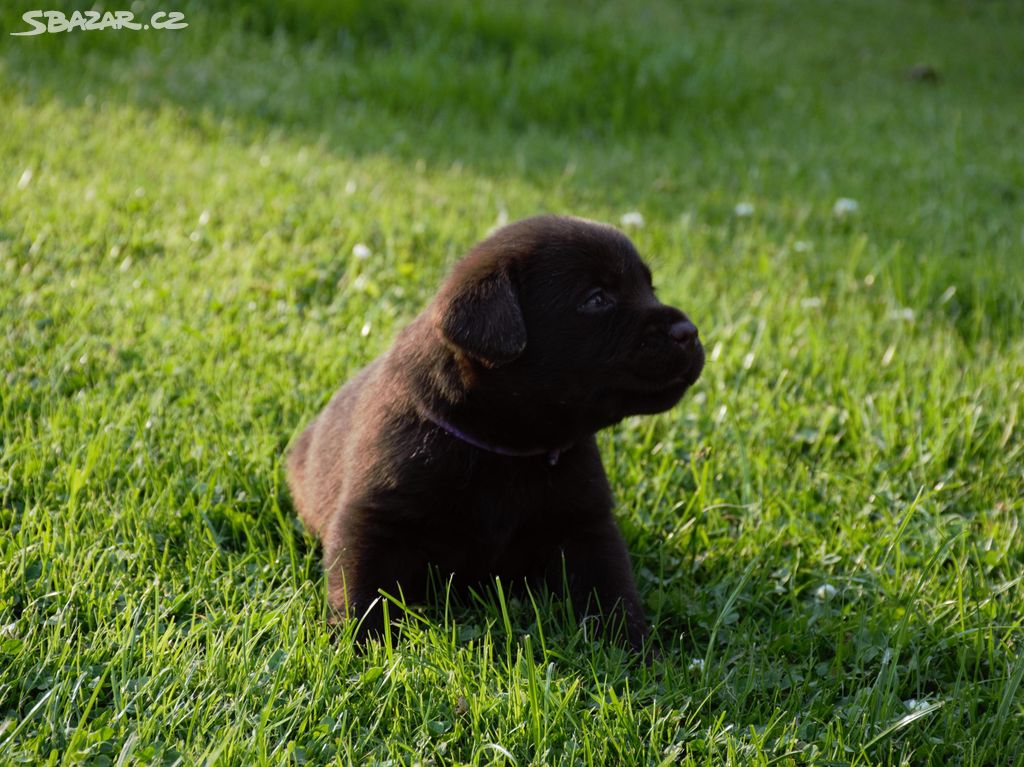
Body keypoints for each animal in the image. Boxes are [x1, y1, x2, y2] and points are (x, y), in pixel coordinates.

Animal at [288, 211, 704, 651]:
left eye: (650, 287)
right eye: (596, 298)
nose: (689, 331)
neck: (505, 448)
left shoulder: (586, 525)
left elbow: (611, 588)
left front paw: (633, 648)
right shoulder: (374, 518)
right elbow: (363, 590)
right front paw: (359, 648)